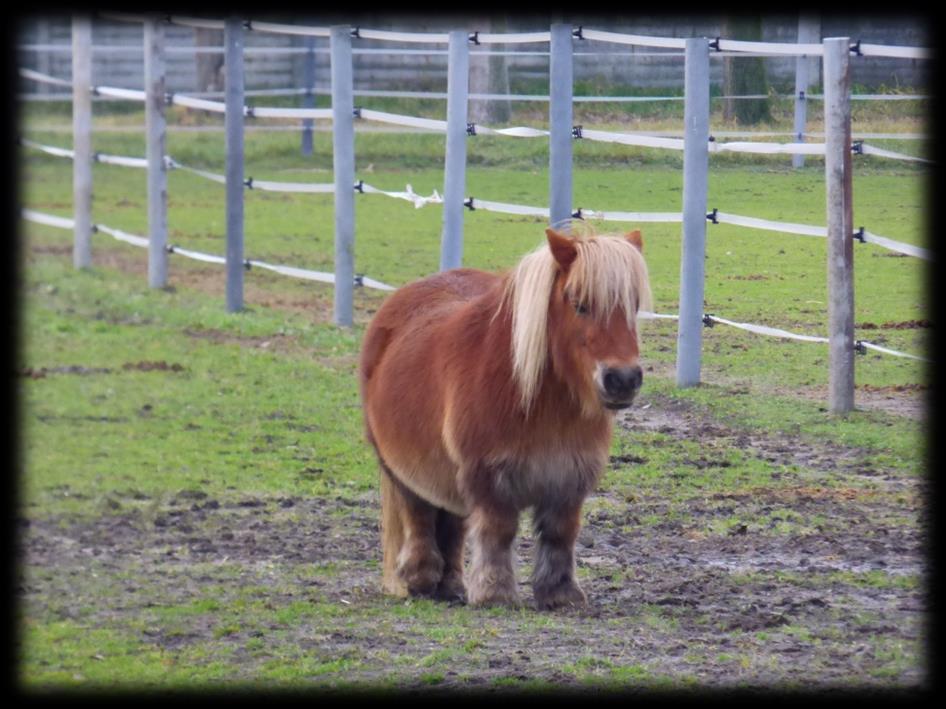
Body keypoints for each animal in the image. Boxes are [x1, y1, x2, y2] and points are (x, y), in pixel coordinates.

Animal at [356, 225, 648, 608]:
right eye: (580, 304)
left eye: (634, 306)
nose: (623, 379)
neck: (540, 402)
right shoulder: (489, 475)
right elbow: (498, 531)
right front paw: (495, 591)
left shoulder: (571, 476)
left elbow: (561, 532)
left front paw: (560, 592)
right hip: (400, 468)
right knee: (418, 513)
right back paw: (420, 579)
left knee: (452, 523)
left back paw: (450, 584)